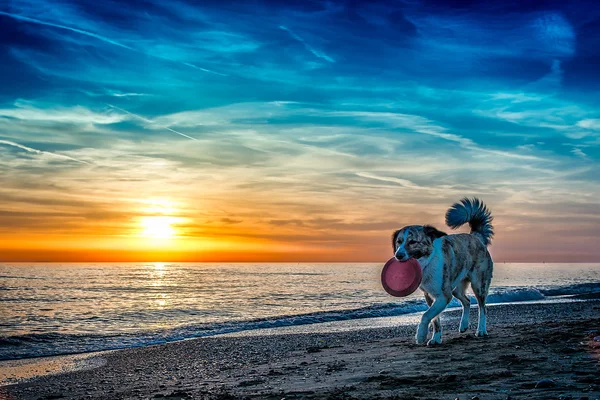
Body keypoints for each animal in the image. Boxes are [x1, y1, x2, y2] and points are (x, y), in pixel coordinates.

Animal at [392, 198, 494, 346]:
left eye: (413, 242)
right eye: (399, 242)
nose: (398, 255)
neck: (427, 262)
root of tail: (476, 237)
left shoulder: (444, 296)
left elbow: (426, 315)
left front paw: (421, 335)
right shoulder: (430, 296)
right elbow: (435, 320)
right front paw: (435, 338)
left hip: (478, 284)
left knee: (483, 308)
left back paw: (481, 330)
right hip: (456, 288)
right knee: (467, 301)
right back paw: (463, 325)